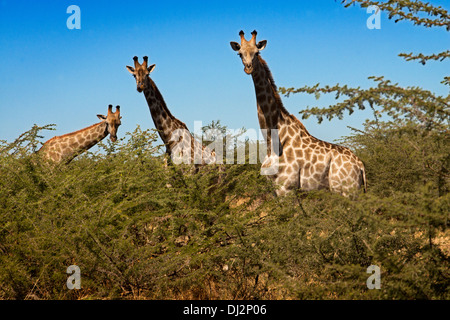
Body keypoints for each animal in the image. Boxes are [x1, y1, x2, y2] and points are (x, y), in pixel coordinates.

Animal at [230, 30, 368, 195]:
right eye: (240, 54)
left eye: (257, 53)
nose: (248, 67)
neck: (273, 141)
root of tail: (360, 165)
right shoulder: (274, 190)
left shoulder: (287, 188)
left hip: (347, 190)